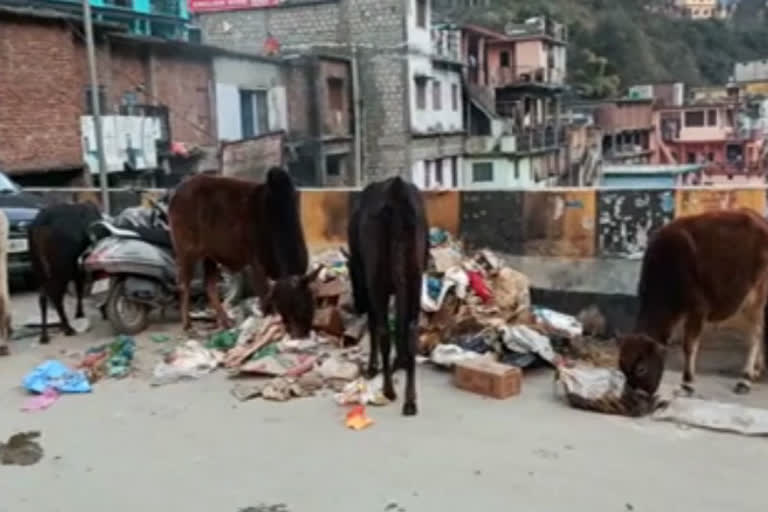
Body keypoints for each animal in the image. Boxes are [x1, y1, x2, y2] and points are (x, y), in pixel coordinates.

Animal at [28, 201, 102, 344]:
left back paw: (44, 335)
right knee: (56, 296)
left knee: (43, 298)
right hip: (61, 270)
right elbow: (80, 291)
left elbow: (79, 290)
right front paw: (79, 314)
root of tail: (41, 222)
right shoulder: (78, 271)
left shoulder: (77, 271)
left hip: (39, 268)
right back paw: (67, 328)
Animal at [170, 168, 320, 336]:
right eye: (288, 307)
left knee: (209, 286)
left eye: (305, 303)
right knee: (184, 285)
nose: (300, 334)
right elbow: (264, 298)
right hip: (186, 251)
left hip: (210, 255)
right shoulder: (257, 266)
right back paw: (187, 324)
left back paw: (225, 322)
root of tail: (177, 192)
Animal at [346, 176, 428, 416]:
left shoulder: (368, 279)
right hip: (415, 273)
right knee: (411, 328)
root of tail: (396, 190)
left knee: (383, 329)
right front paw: (399, 362)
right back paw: (410, 399)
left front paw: (373, 367)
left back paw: (389, 389)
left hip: (377, 277)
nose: (358, 305)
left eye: (352, 275)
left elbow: (374, 324)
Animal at [616, 209, 768, 400]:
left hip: (756, 294)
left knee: (755, 333)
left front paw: (687, 384)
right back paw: (757, 371)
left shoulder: (697, 309)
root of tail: (760, 220)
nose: (629, 396)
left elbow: (689, 345)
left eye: (641, 368)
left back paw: (745, 379)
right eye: (621, 367)